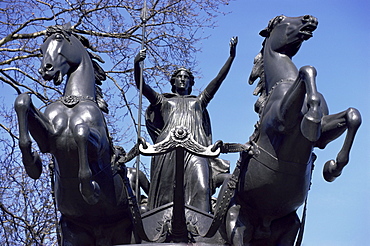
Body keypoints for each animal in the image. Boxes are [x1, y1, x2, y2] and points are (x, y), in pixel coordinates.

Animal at [15, 24, 136, 245]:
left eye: (58, 38)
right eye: (41, 49)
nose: (45, 69)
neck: (74, 101)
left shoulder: (99, 146)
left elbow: (80, 132)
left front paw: (91, 190)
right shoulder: (50, 137)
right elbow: (22, 101)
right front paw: (33, 163)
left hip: (128, 231)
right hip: (74, 233)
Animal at [225, 14, 362, 244]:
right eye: (281, 19)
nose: (310, 18)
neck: (284, 80)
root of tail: (264, 225)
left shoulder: (322, 137)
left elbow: (353, 115)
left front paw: (332, 168)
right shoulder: (282, 120)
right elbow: (307, 69)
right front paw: (311, 118)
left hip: (291, 229)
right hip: (236, 222)